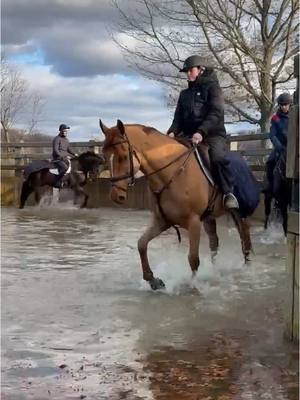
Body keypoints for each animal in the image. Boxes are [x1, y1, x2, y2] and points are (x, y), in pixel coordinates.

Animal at [99, 119, 253, 290]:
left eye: (124, 156)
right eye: (105, 156)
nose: (115, 196)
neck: (173, 173)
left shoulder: (193, 222)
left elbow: (193, 258)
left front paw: (193, 285)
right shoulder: (162, 221)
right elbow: (141, 244)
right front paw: (153, 280)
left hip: (240, 212)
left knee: (245, 237)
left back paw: (246, 268)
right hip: (209, 217)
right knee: (214, 243)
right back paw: (215, 269)